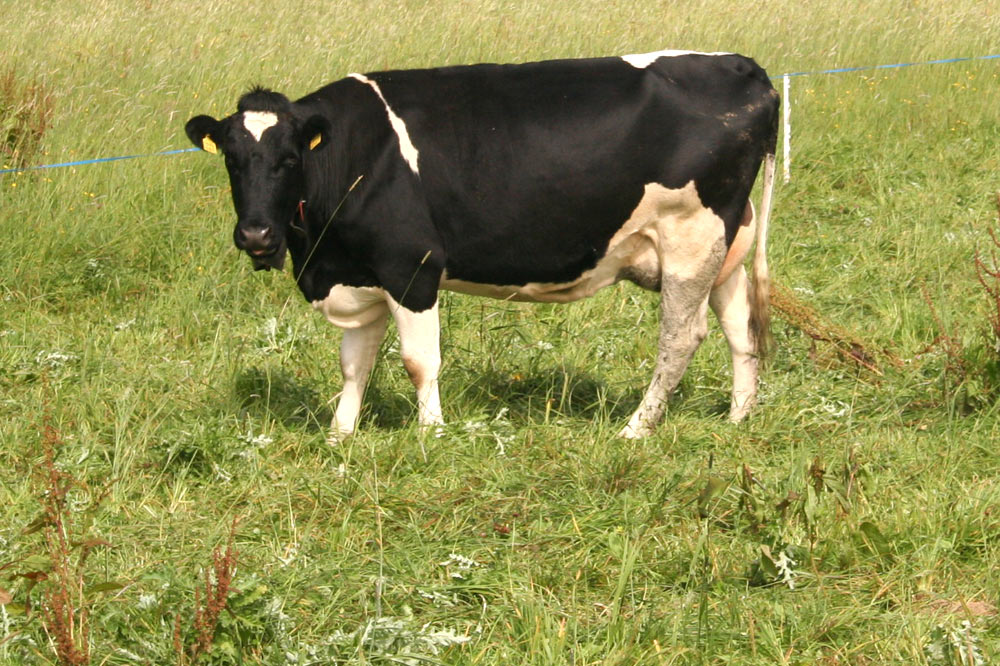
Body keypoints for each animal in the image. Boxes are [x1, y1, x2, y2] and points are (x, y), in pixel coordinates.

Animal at [189, 48, 780, 440]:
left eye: (290, 159)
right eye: (232, 161)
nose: (256, 234)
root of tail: (742, 66)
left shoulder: (411, 267)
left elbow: (418, 361)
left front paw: (430, 434)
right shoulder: (361, 272)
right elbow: (354, 364)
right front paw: (340, 436)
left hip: (690, 237)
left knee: (681, 338)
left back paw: (635, 429)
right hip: (726, 248)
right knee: (741, 329)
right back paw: (739, 418)